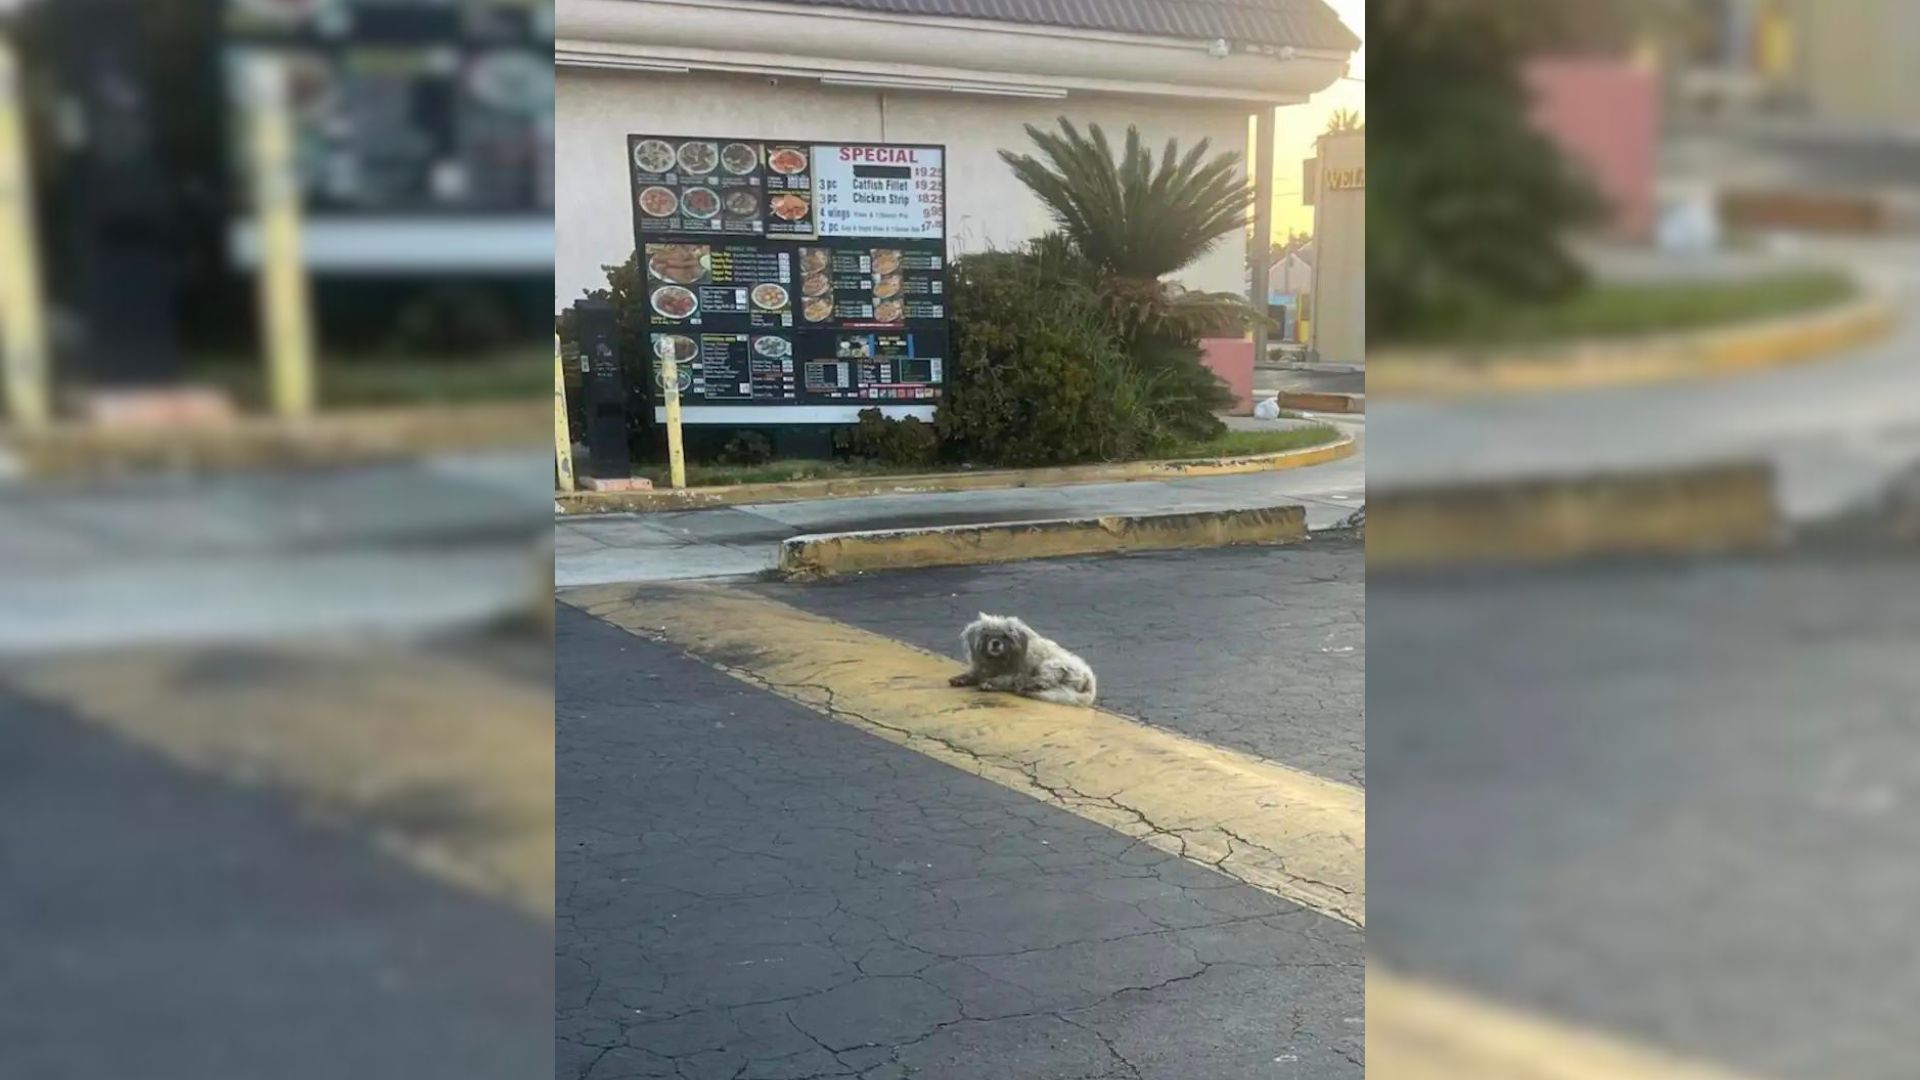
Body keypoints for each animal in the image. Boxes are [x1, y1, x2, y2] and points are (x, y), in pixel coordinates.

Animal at [944, 614, 1098, 707]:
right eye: (987, 635)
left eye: (1005, 636)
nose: (995, 643)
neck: (998, 659)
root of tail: (1089, 679)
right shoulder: (984, 669)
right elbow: (973, 674)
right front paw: (961, 678)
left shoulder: (1015, 674)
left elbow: (1003, 679)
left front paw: (990, 683)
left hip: (1051, 665)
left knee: (1045, 682)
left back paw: (1027, 686)